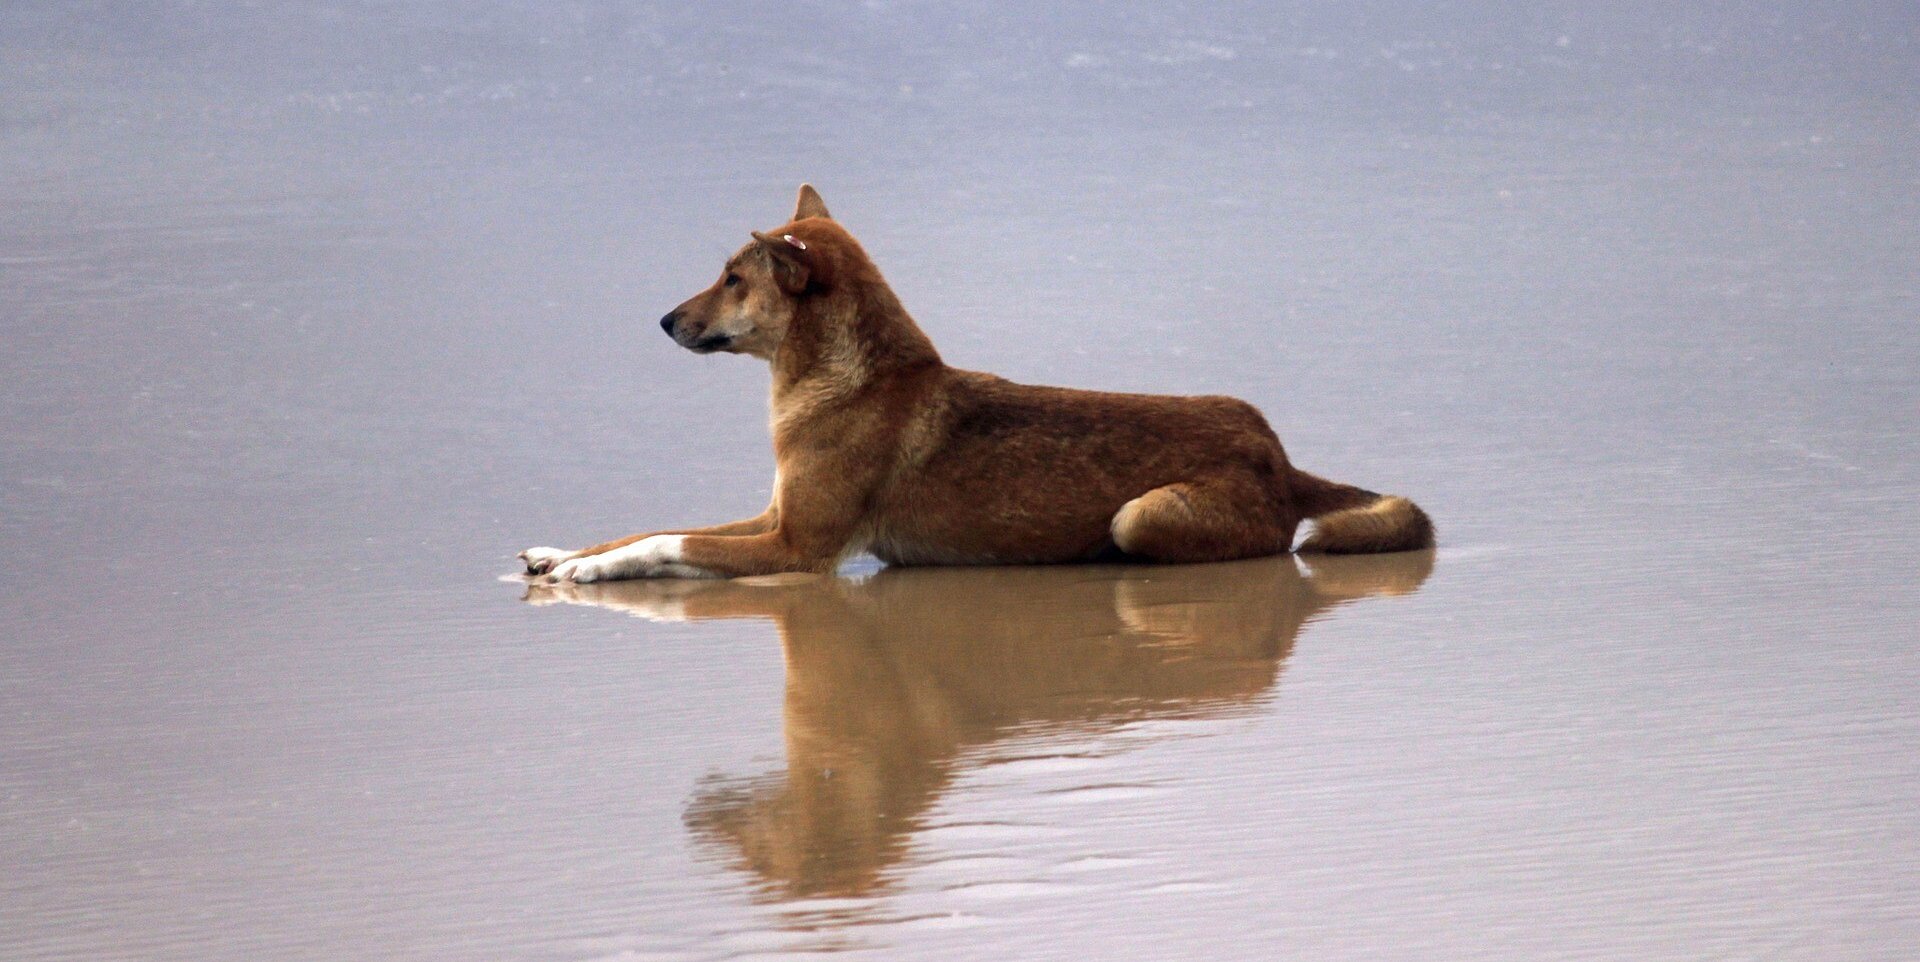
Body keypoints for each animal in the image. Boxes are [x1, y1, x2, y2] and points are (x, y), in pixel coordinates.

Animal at [521, 184, 1432, 582]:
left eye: (733, 280)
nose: (663, 321)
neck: (844, 381)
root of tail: (1276, 450)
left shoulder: (796, 546)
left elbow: (667, 544)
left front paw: (593, 571)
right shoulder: (775, 516)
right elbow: (646, 526)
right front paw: (562, 554)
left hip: (1141, 516)